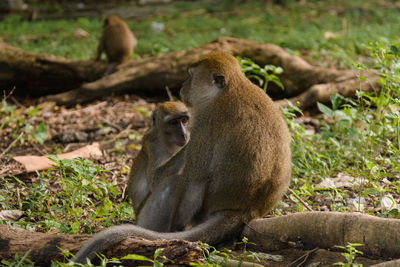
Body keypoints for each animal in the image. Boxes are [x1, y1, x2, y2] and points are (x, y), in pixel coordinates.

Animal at [72, 51, 290, 264]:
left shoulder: (204, 122)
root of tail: (246, 210)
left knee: (174, 183)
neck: (230, 90)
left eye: (191, 76)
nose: (183, 85)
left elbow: (194, 181)